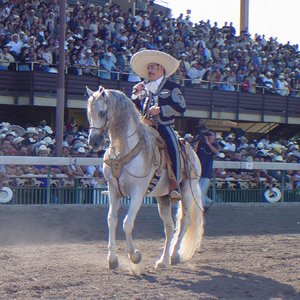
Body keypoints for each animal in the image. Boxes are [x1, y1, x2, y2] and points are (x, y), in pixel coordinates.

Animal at [85, 86, 205, 270]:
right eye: (89, 113)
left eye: (102, 112)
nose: (93, 142)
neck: (123, 149)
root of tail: (191, 150)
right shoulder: (113, 190)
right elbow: (112, 220)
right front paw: (112, 260)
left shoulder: (138, 192)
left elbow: (127, 223)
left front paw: (135, 256)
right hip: (163, 197)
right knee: (169, 227)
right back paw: (162, 261)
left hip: (186, 190)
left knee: (184, 222)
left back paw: (174, 255)